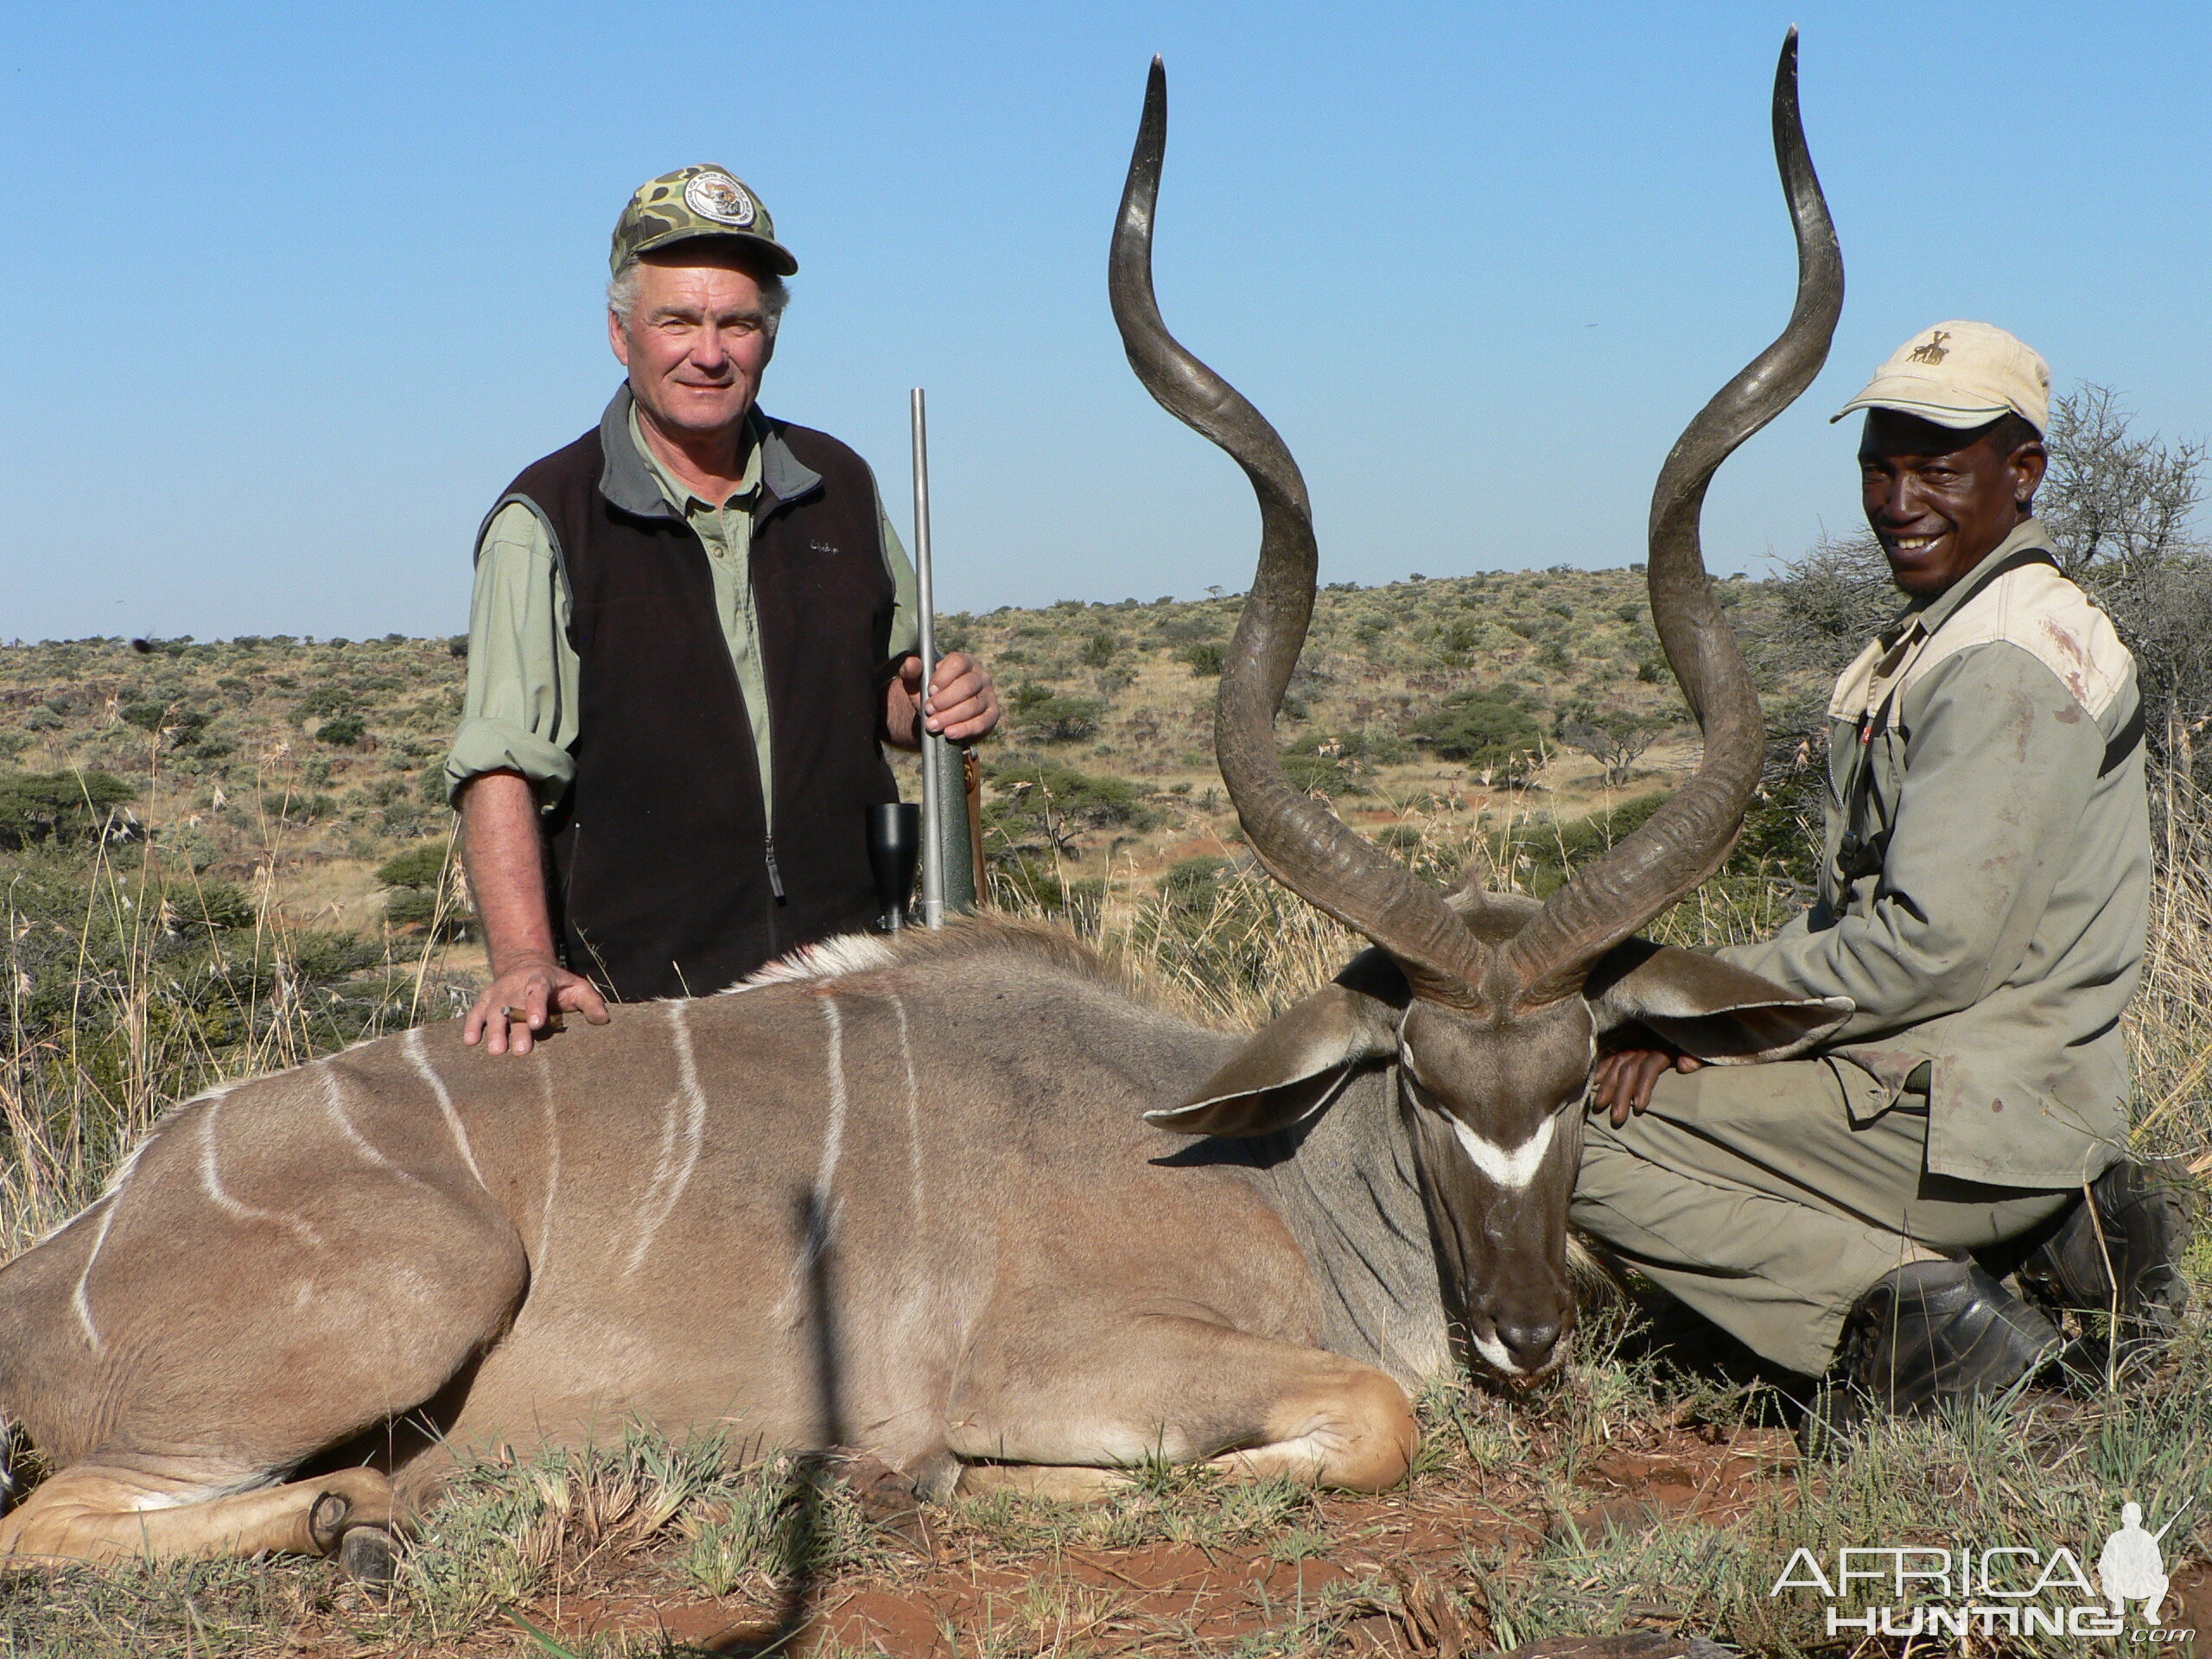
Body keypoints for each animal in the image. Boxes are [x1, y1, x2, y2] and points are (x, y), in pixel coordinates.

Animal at [0, 39, 1849, 1574]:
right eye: (1419, 1079)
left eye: (1578, 1071)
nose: (1528, 1341)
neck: (1259, 1162)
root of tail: (69, 1256)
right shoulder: (1048, 1355)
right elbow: (1364, 1416)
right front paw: (951, 1481)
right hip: (417, 1293)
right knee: (59, 1521)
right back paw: (366, 1523)